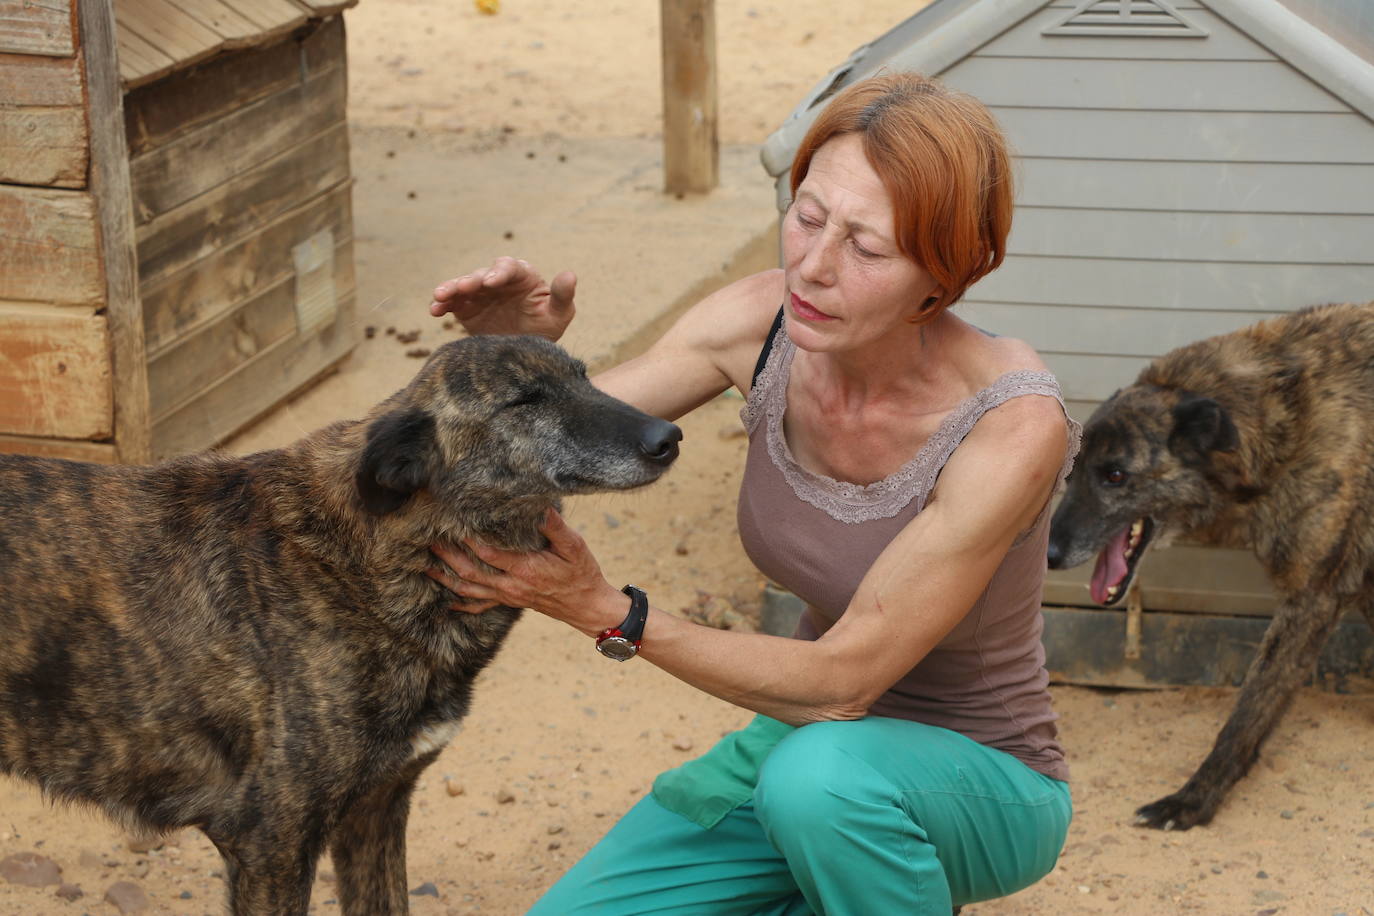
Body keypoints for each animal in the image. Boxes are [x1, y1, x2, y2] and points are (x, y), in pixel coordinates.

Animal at [0, 333, 678, 911]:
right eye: (524, 400)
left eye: (585, 378)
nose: (668, 435)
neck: (373, 561)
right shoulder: (269, 843)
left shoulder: (375, 812)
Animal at [1049, 306, 1374, 829]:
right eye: (1073, 471)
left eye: (1115, 475)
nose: (1050, 555)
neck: (1283, 417)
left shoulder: (1312, 598)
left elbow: (1247, 713)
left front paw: (1193, 801)